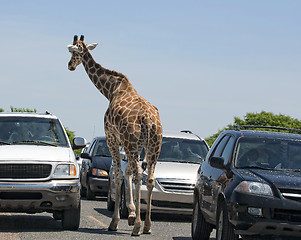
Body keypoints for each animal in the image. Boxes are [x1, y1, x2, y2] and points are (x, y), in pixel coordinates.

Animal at [67, 35, 163, 236]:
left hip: (133, 143)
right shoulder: (132, 145)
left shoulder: (112, 138)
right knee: (149, 178)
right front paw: (132, 213)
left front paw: (117, 221)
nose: (70, 65)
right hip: (153, 147)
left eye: (73, 52)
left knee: (139, 174)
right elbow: (126, 173)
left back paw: (137, 227)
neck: (111, 90)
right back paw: (147, 226)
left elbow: (118, 175)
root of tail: (148, 119)